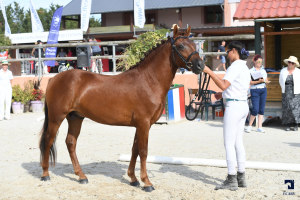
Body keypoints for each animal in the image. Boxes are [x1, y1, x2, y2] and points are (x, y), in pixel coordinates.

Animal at [39, 25, 204, 191]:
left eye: (194, 45)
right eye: (181, 46)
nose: (200, 65)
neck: (149, 80)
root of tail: (54, 78)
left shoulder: (141, 125)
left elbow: (134, 150)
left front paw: (133, 179)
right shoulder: (144, 123)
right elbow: (143, 151)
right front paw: (147, 182)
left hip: (75, 117)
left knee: (71, 142)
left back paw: (82, 176)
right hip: (56, 118)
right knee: (48, 140)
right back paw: (45, 174)